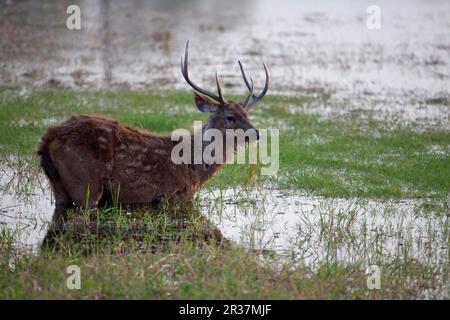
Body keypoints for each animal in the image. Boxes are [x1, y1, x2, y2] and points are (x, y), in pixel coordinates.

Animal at [37, 41, 268, 244]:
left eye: (246, 114)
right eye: (230, 117)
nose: (256, 133)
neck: (193, 169)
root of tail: (48, 139)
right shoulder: (173, 196)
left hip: (60, 186)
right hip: (85, 183)